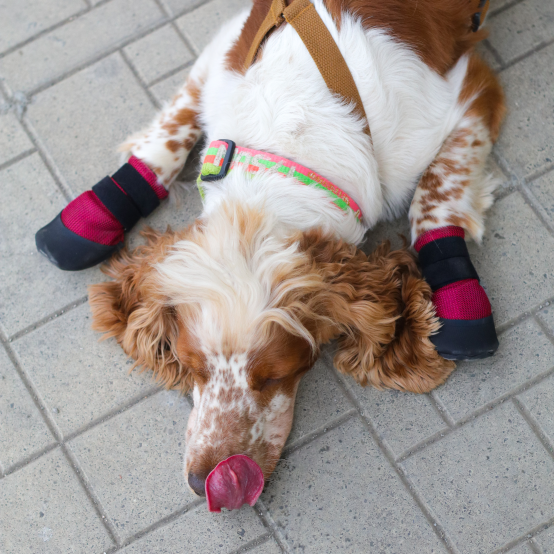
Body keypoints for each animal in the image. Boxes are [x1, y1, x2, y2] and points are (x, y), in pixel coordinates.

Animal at [80, 0, 502, 508]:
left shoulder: (469, 90)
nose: (206, 482)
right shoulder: (225, 48)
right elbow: (172, 129)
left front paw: (460, 306)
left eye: (275, 375)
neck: (293, 136)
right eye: (193, 367)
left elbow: (435, 196)